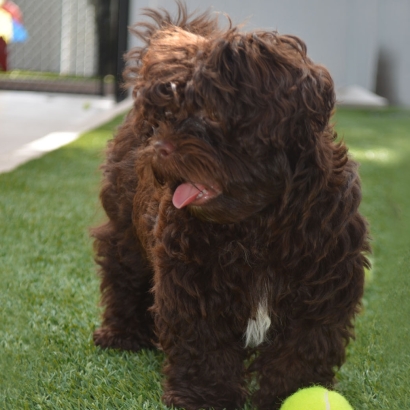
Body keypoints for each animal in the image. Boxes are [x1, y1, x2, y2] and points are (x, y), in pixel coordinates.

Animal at [91, 4, 370, 410]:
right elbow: (204, 343)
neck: (259, 220)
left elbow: (303, 345)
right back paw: (121, 334)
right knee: (122, 273)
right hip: (124, 223)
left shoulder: (323, 279)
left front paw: (289, 393)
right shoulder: (194, 277)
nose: (159, 148)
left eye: (209, 112)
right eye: (168, 115)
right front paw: (205, 397)